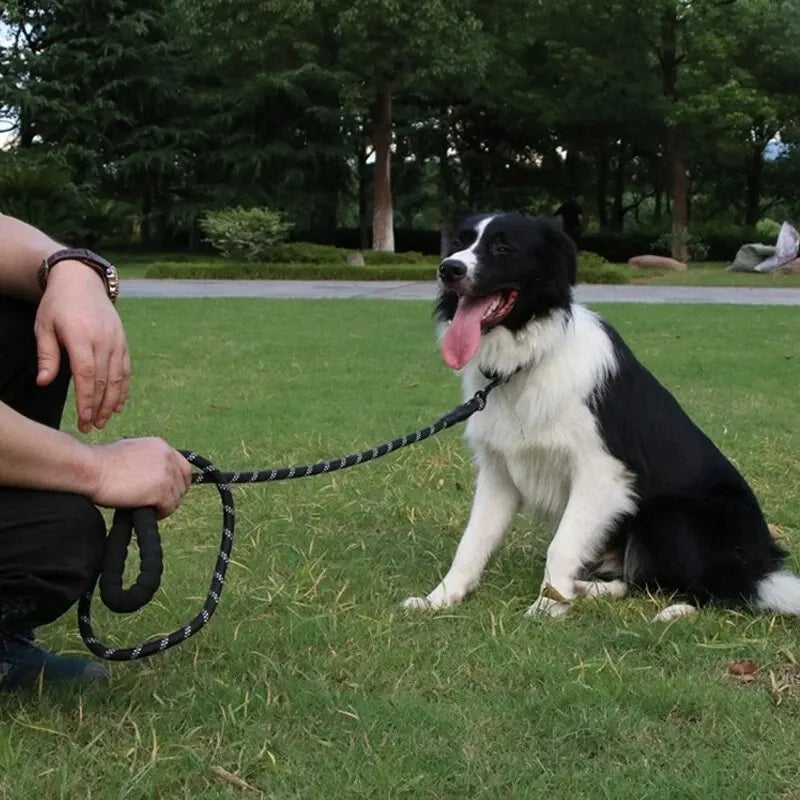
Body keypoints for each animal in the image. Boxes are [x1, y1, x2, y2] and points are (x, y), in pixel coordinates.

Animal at [406, 211, 800, 620]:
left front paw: (548, 606)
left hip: (675, 516)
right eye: (459, 243)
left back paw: (675, 610)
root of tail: (760, 565)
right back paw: (587, 589)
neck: (528, 359)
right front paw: (441, 598)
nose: (448, 269)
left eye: (503, 247)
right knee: (636, 581)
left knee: (720, 589)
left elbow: (561, 544)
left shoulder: (603, 472)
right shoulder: (500, 472)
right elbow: (472, 541)